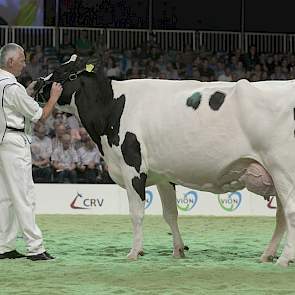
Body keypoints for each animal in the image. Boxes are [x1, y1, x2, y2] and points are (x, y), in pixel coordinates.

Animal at [37, 55, 295, 268]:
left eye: (63, 72)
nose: (36, 85)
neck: (111, 107)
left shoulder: (132, 167)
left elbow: (137, 213)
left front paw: (134, 252)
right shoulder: (163, 175)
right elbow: (170, 214)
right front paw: (178, 250)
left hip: (283, 169)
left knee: (290, 212)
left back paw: (283, 259)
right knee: (281, 216)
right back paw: (268, 255)